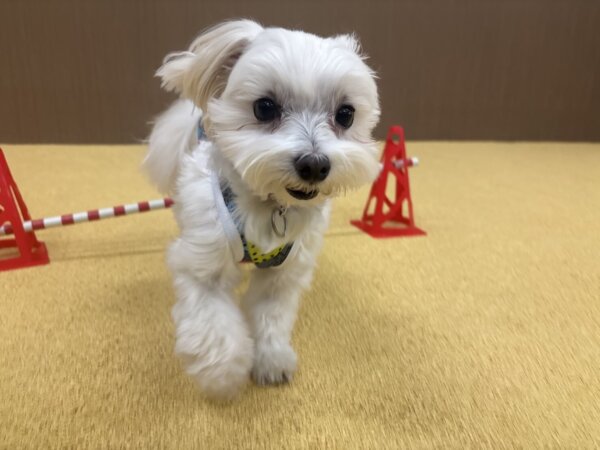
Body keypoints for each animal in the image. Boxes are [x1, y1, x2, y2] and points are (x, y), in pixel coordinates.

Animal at [144, 19, 381, 399]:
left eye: (346, 114)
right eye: (265, 108)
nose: (314, 165)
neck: (269, 205)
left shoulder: (283, 276)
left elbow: (271, 317)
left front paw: (271, 359)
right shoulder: (202, 269)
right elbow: (213, 324)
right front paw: (223, 375)